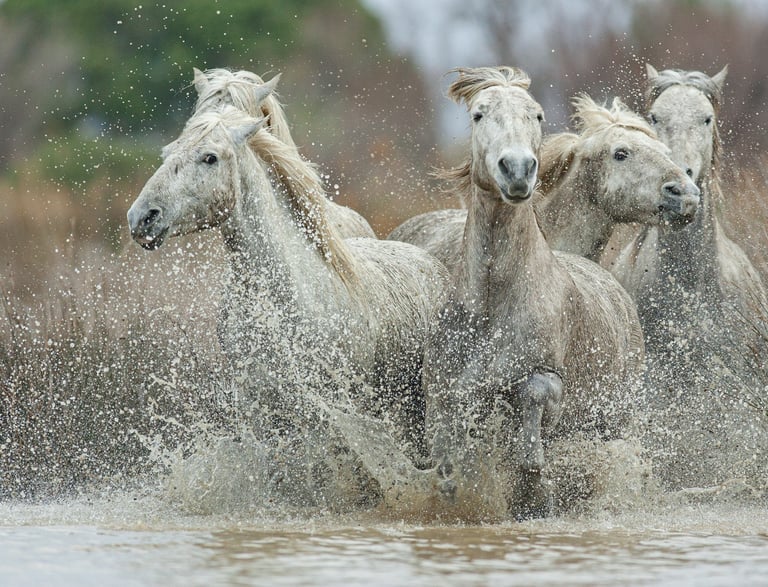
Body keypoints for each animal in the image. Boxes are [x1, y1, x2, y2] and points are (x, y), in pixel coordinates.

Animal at [127, 103, 449, 503]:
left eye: (210, 157)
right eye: (168, 152)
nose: (142, 218)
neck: (283, 298)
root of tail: (431, 262)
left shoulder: (327, 408)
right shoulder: (259, 404)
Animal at [422, 67, 645, 519]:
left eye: (537, 115)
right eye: (478, 114)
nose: (518, 169)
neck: (493, 302)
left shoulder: (548, 380)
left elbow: (532, 398)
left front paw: (534, 489)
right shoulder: (443, 386)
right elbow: (446, 454)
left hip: (617, 417)